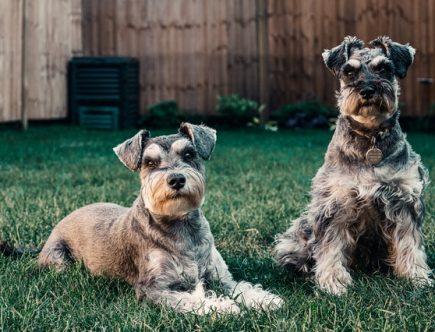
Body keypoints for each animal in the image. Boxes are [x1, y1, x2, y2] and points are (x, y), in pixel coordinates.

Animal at [37, 124, 284, 314]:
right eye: (149, 162)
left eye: (188, 154)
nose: (176, 179)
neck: (182, 225)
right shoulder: (153, 289)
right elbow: (189, 299)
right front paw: (221, 307)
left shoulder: (220, 277)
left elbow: (241, 287)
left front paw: (265, 299)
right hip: (59, 260)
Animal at [276, 36, 432, 296]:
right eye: (349, 71)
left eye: (384, 69)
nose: (367, 90)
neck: (370, 138)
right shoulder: (335, 203)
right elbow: (330, 246)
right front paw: (333, 283)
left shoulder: (404, 200)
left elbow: (410, 243)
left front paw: (416, 277)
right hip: (300, 232)